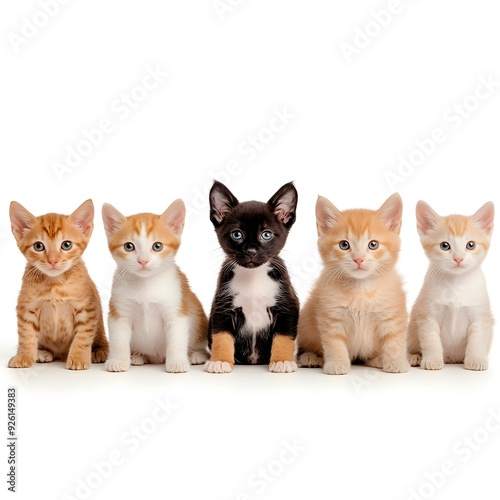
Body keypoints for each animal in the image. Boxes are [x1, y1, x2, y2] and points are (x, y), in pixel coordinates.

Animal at [7, 201, 108, 370]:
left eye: (66, 245)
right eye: (38, 246)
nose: (53, 260)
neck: (55, 284)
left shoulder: (87, 310)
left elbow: (82, 337)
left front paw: (79, 358)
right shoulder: (26, 308)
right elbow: (25, 335)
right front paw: (23, 356)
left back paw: (98, 351)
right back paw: (41, 352)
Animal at [103, 199, 209, 372]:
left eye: (157, 246)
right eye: (128, 246)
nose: (143, 260)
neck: (146, 284)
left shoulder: (176, 310)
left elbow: (176, 339)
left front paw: (177, 362)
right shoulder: (120, 311)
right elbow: (118, 339)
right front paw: (118, 360)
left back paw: (197, 355)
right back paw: (138, 356)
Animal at [204, 182, 298, 374]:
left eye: (266, 234)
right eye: (237, 234)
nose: (251, 251)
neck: (253, 276)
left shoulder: (287, 305)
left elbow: (283, 335)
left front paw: (282, 360)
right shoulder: (222, 306)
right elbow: (221, 336)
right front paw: (220, 360)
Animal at [294, 193, 408, 374]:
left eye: (373, 244)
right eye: (344, 245)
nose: (358, 259)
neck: (360, 289)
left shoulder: (392, 314)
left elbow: (394, 340)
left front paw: (395, 362)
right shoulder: (331, 316)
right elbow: (334, 343)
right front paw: (337, 363)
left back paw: (377, 358)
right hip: (305, 323)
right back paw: (310, 357)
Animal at [408, 201, 494, 370]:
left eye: (471, 245)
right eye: (445, 246)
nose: (458, 258)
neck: (456, 283)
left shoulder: (480, 314)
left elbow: (478, 339)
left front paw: (476, 360)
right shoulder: (426, 314)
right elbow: (430, 339)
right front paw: (432, 360)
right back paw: (414, 357)